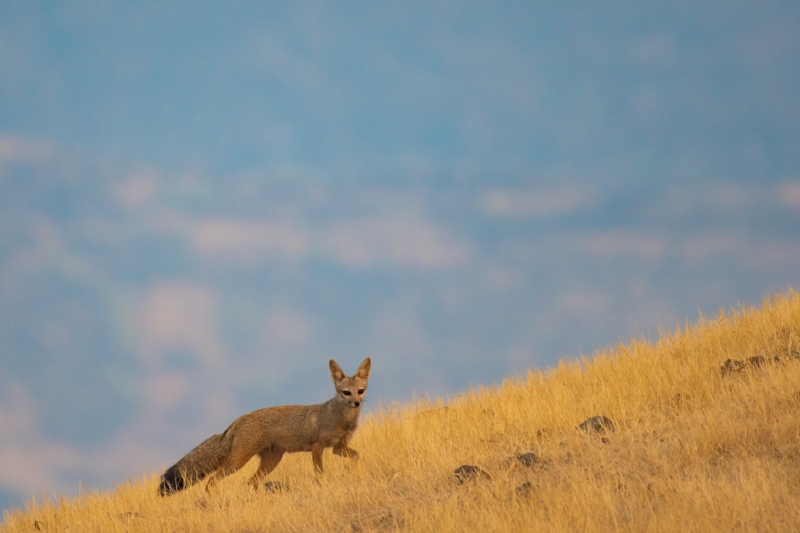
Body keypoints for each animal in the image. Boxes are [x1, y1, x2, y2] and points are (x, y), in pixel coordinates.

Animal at [159, 358, 372, 494]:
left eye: (360, 391)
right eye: (346, 392)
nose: (356, 403)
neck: (340, 418)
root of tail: (236, 421)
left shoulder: (338, 448)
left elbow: (358, 456)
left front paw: (356, 471)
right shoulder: (318, 447)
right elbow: (319, 472)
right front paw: (323, 484)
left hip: (269, 463)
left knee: (250, 483)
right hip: (238, 462)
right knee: (212, 480)